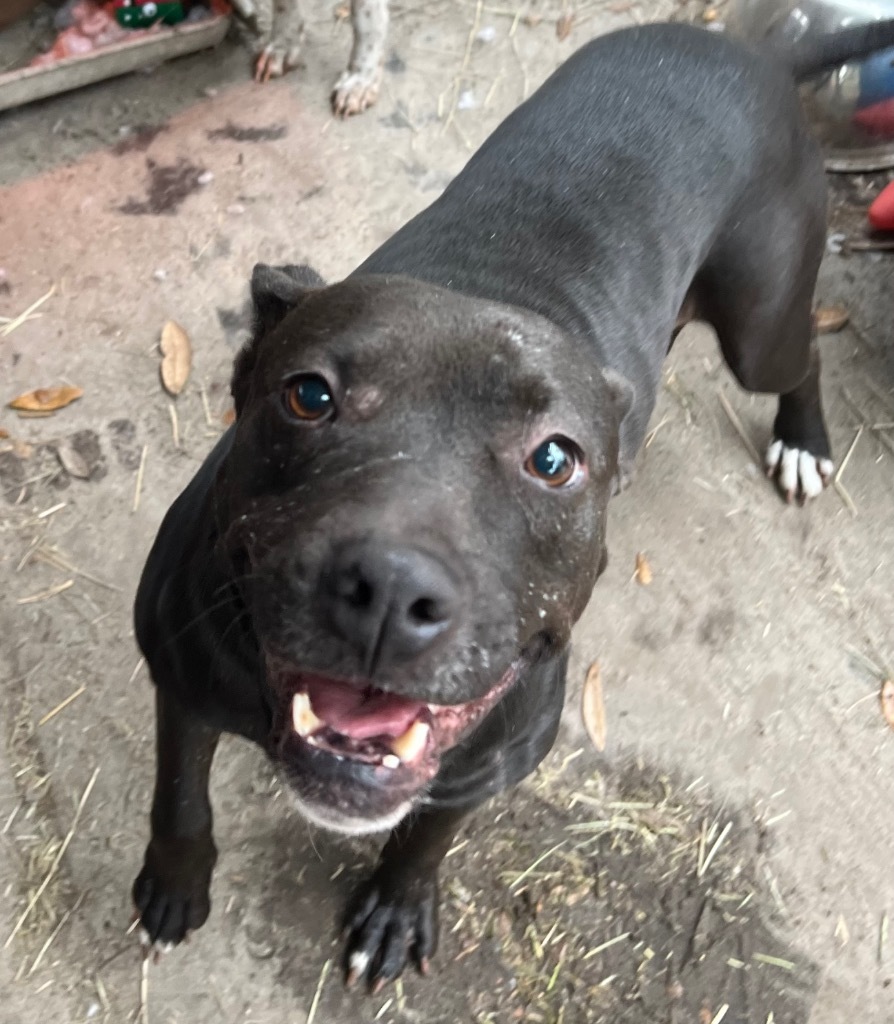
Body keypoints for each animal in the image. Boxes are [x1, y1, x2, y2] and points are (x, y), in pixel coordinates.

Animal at [130, 18, 892, 991]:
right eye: (308, 395)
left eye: (555, 459)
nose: (390, 590)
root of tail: (745, 51)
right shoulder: (180, 675)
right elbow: (180, 796)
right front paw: (174, 886)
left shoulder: (492, 760)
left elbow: (428, 836)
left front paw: (395, 907)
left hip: (760, 319)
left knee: (804, 353)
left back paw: (804, 440)